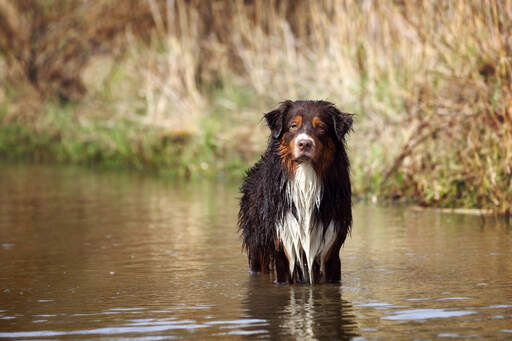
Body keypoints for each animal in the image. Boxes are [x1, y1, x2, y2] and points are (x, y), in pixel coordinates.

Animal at [239, 99, 352, 282]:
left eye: (321, 127)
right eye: (293, 126)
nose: (304, 143)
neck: (305, 177)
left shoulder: (331, 247)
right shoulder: (283, 243)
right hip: (258, 244)